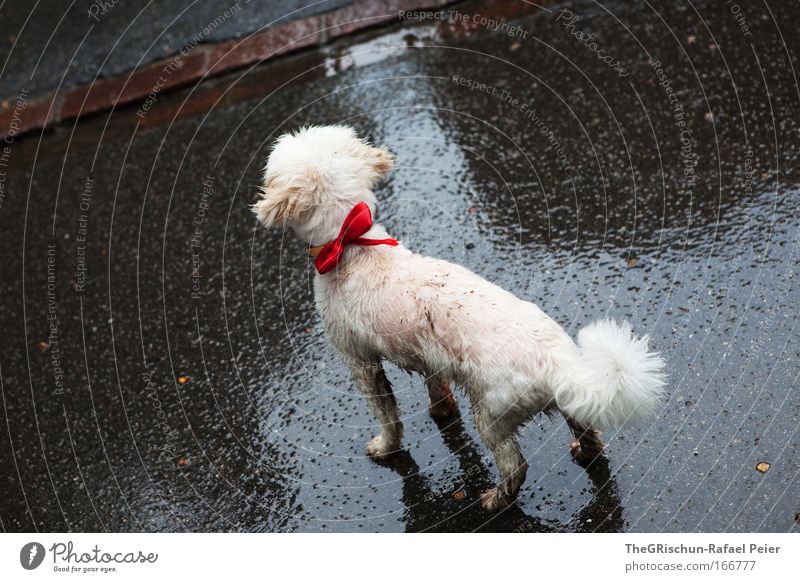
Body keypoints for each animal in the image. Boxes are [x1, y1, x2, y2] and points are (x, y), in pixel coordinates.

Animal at [253, 126, 664, 512]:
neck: (352, 244)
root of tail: (558, 364)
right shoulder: (428, 353)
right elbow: (436, 385)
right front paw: (441, 410)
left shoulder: (359, 361)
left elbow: (387, 414)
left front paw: (385, 447)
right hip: (569, 401)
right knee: (588, 431)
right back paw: (583, 450)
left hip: (491, 414)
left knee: (515, 466)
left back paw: (496, 500)